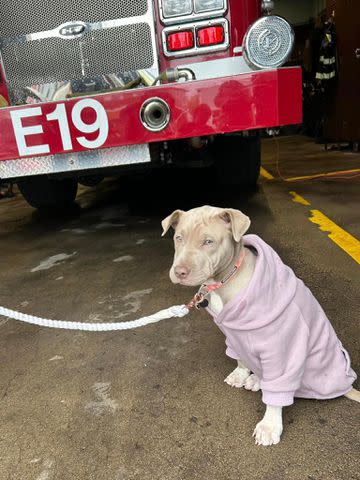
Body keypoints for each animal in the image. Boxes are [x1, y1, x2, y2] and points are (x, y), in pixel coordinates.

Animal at [162, 204, 358, 444]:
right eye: (178, 238)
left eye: (208, 241)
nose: (179, 272)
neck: (224, 280)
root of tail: (345, 384)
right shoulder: (232, 333)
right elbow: (240, 357)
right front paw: (240, 374)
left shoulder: (280, 347)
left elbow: (276, 394)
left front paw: (269, 426)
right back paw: (255, 379)